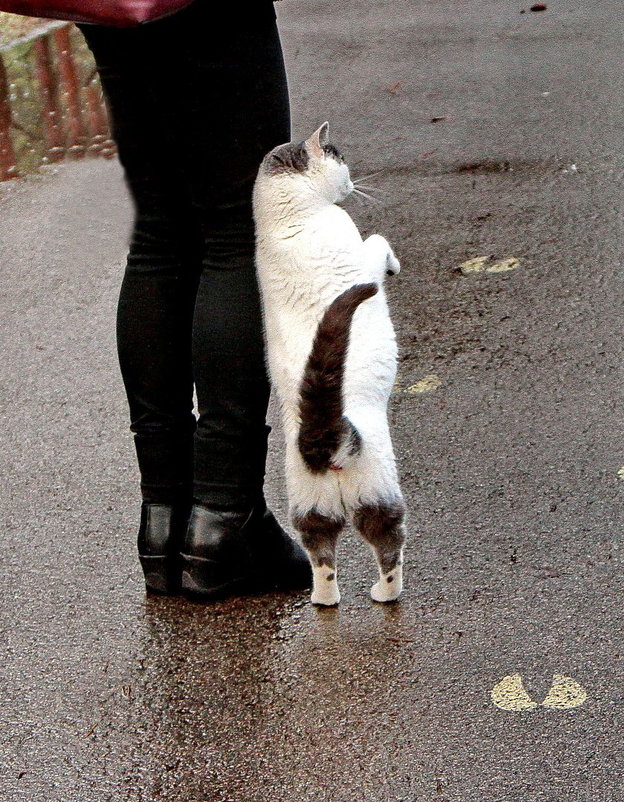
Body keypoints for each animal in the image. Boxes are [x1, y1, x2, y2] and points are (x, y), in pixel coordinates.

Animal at [252, 122, 404, 604]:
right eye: (343, 162)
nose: (353, 183)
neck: (284, 222)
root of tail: (320, 439)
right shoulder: (360, 257)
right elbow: (377, 243)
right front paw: (392, 265)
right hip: (378, 491)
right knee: (388, 544)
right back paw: (385, 594)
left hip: (308, 507)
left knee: (321, 556)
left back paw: (324, 599)